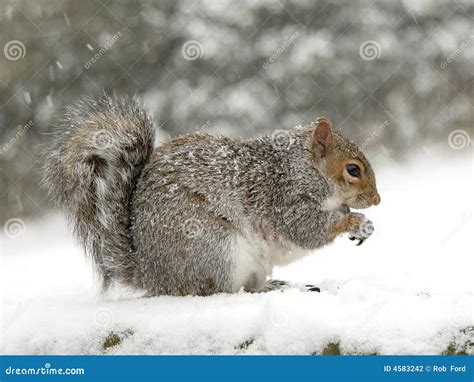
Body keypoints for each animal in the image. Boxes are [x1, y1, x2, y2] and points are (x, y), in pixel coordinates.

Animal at [41, 94, 382, 296]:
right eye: (353, 170)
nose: (376, 200)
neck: (303, 168)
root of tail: (151, 275)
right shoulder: (283, 197)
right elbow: (307, 229)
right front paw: (356, 222)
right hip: (214, 246)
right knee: (220, 291)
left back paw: (272, 284)